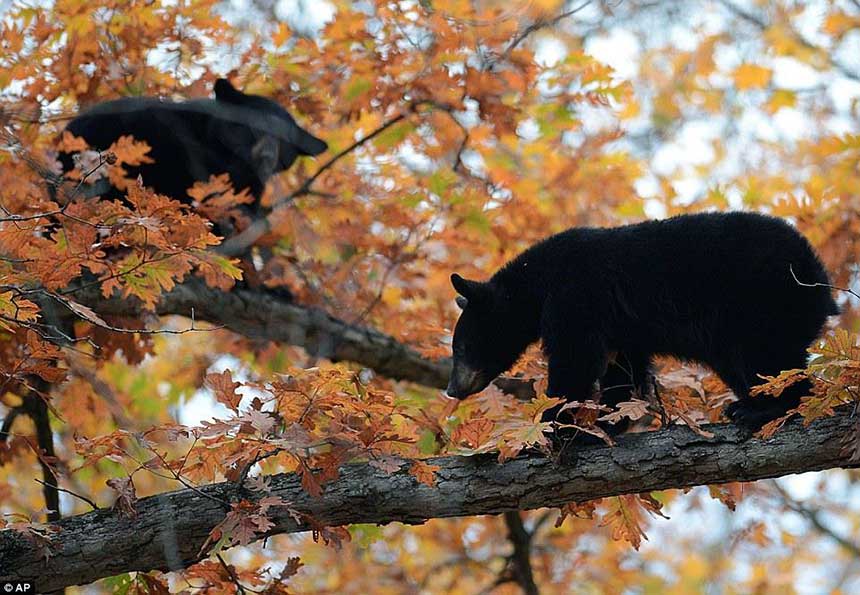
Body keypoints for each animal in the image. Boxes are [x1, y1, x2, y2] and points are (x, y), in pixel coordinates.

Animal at [446, 211, 839, 434]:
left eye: (461, 346)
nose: (451, 388)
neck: (538, 283)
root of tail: (819, 275)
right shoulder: (620, 327)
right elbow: (623, 367)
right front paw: (609, 420)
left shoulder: (576, 294)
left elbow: (574, 358)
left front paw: (554, 423)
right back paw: (747, 406)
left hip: (763, 300)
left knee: (771, 361)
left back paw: (766, 409)